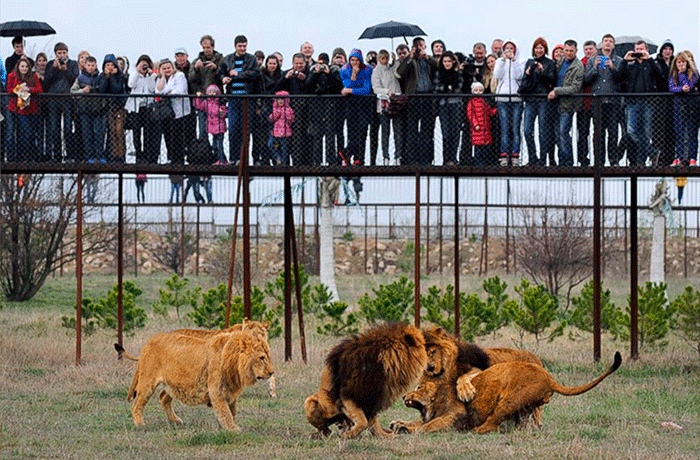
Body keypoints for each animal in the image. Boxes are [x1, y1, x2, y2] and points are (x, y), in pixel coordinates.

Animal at [115, 330, 274, 432]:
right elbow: (225, 412)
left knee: (163, 397)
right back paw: (140, 424)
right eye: (261, 358)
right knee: (137, 404)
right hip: (147, 382)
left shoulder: (230, 391)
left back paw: (175, 420)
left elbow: (231, 411)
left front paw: (226, 427)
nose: (272, 372)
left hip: (173, 384)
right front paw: (233, 429)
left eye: (267, 356)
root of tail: (148, 342)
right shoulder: (216, 391)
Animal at [392, 352, 620, 434]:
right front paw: (399, 424)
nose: (403, 396)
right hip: (523, 408)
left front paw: (407, 429)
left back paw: (474, 431)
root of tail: (549, 377)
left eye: (418, 387)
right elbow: (419, 421)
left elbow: (430, 425)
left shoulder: (456, 415)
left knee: (490, 425)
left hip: (509, 400)